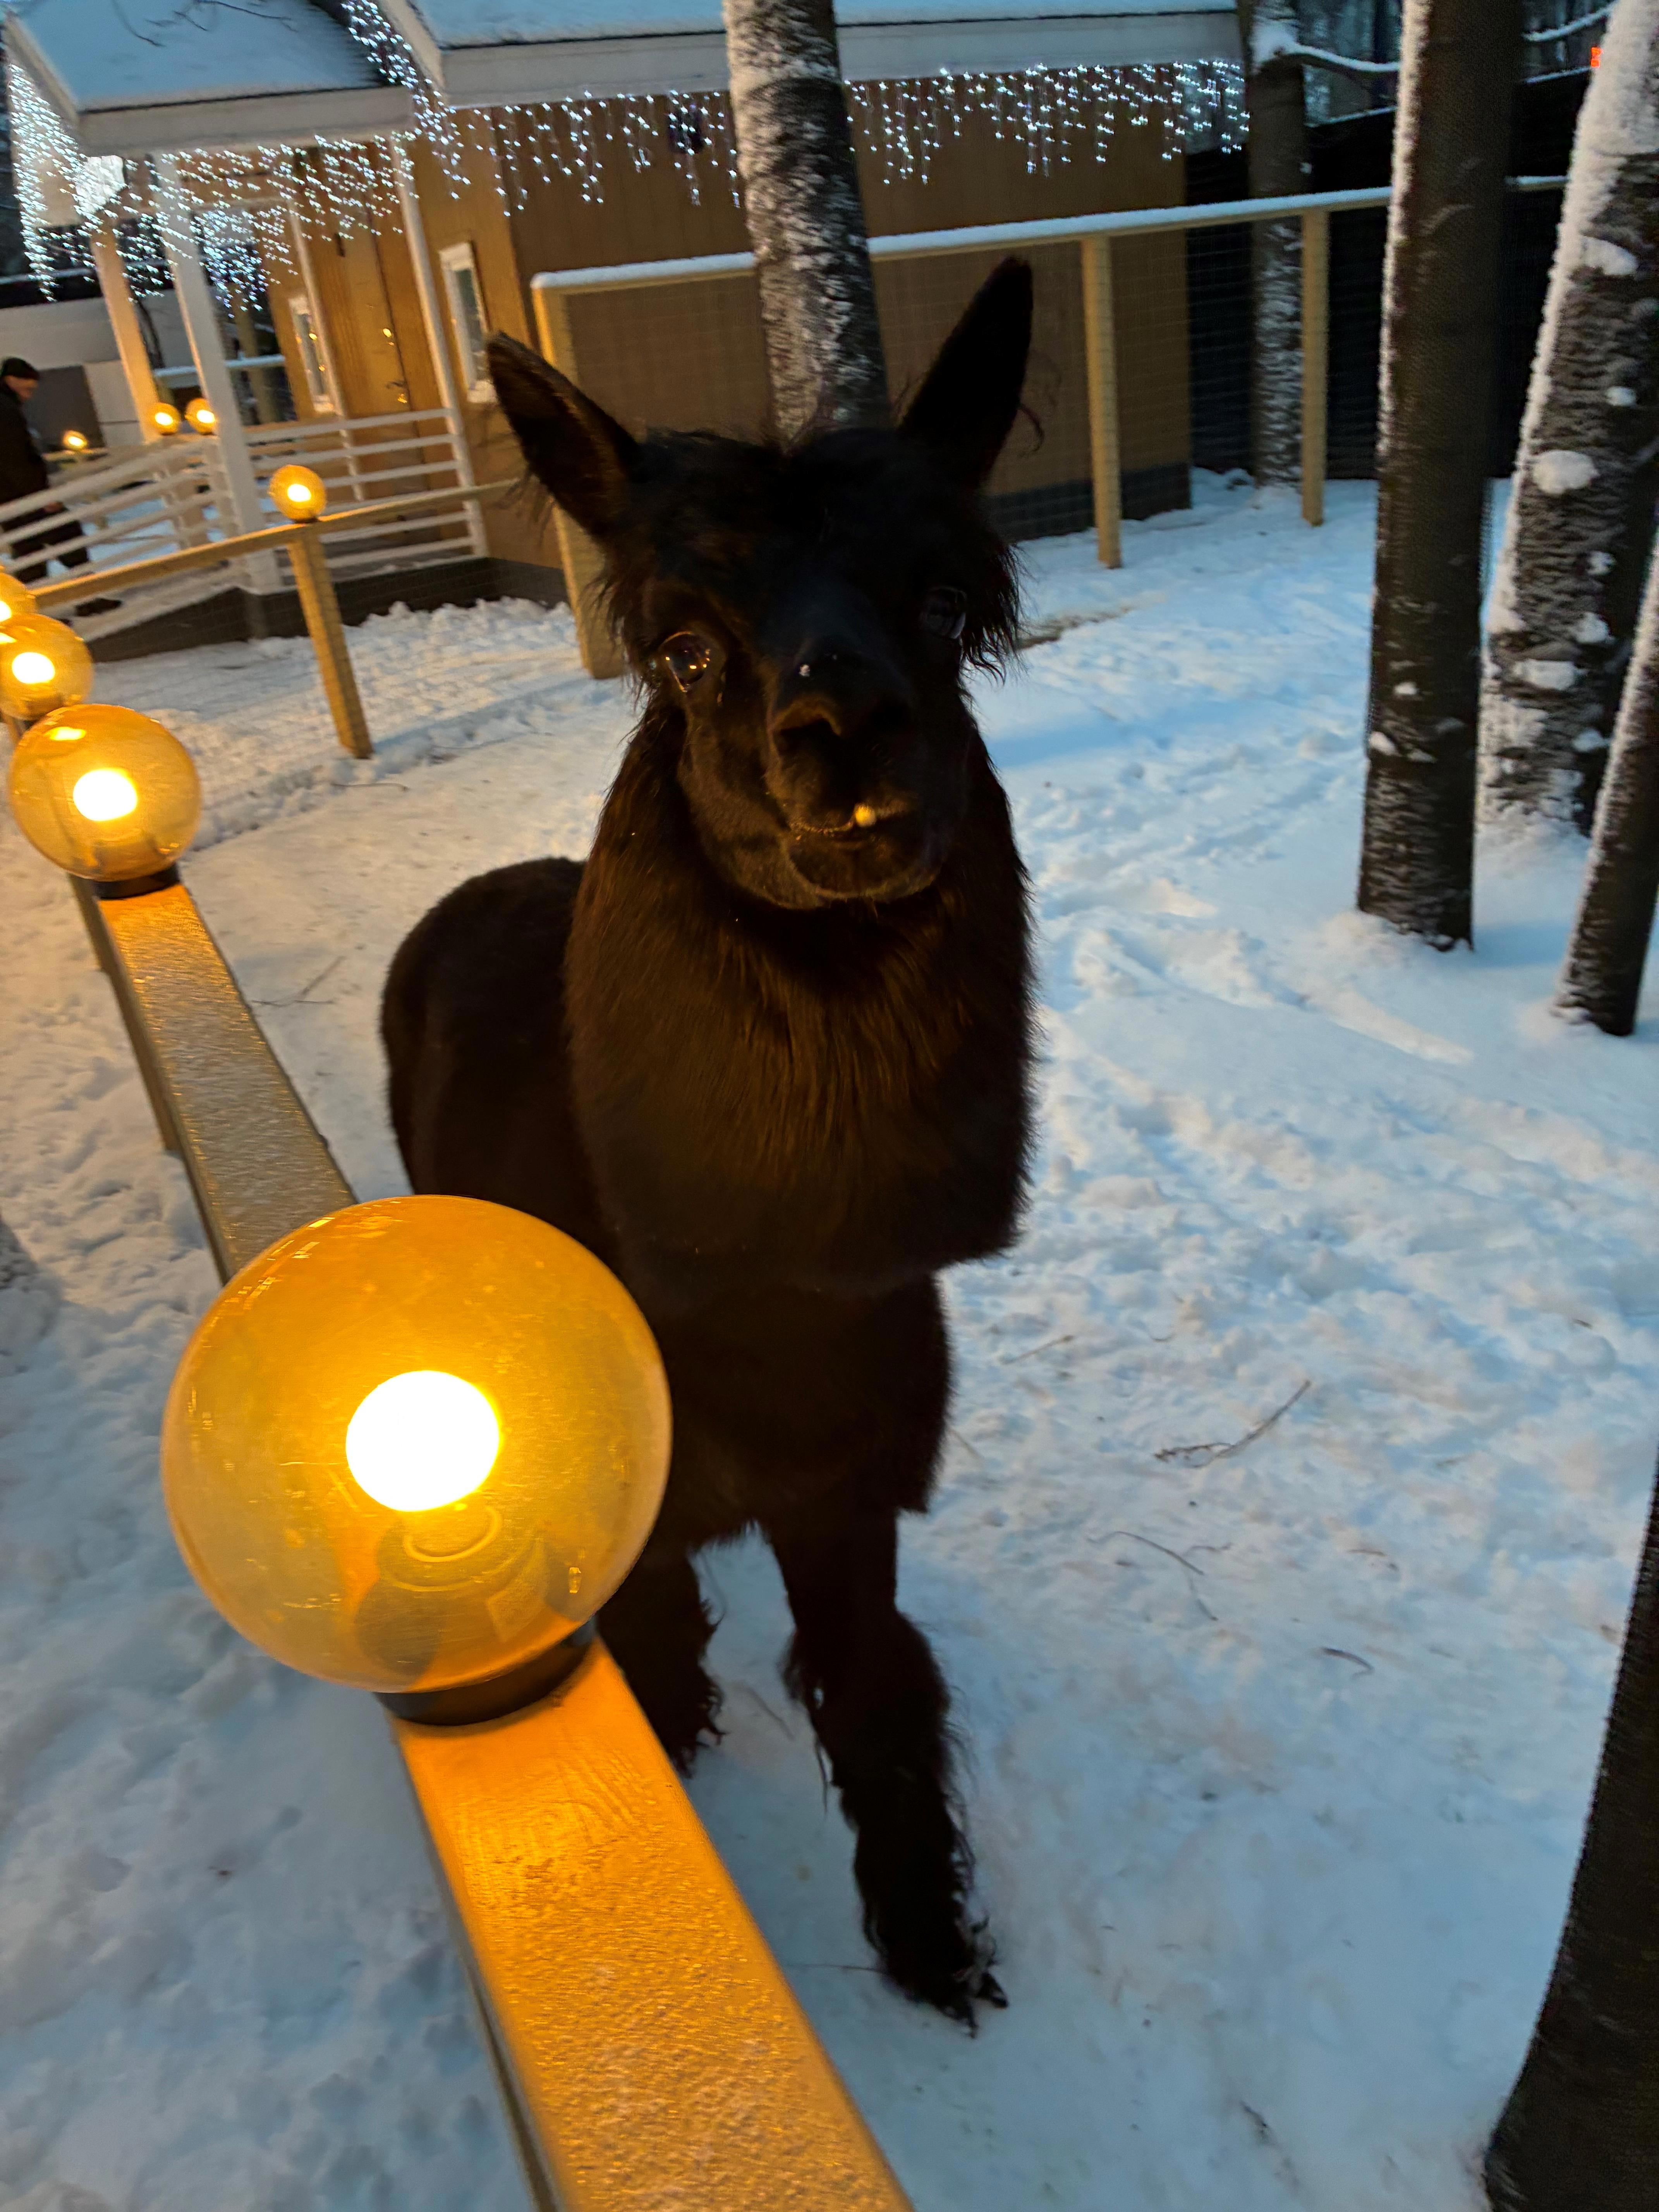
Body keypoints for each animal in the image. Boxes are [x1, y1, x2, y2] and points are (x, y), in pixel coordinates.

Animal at [382, 260, 1035, 2023]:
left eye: (945, 612)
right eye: (681, 649)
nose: (846, 725)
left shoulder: (852, 1488)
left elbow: (879, 1700)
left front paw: (933, 1952)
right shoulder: (622, 1481)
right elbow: (658, 1636)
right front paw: (671, 1772)